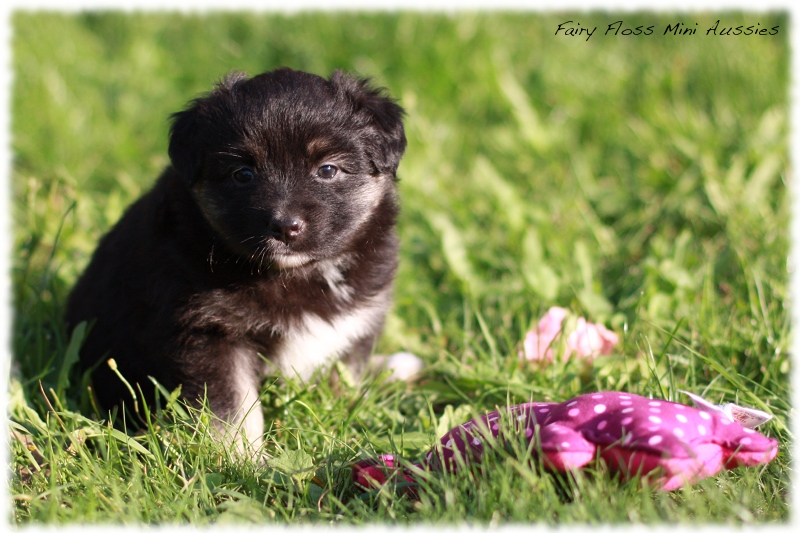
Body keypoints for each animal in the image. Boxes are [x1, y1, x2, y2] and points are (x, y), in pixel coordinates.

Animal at [64, 65, 406, 448]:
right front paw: (240, 456)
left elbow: (343, 377)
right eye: (243, 174)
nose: (286, 226)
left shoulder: (357, 317)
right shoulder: (208, 332)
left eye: (328, 170)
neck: (292, 274)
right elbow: (233, 407)